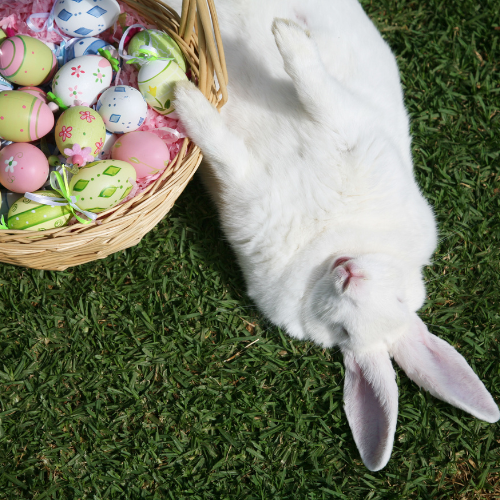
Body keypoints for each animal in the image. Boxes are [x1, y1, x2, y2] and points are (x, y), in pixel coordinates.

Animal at [169, 0, 500, 468]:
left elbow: (224, 148)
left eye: (343, 333)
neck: (331, 238)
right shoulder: (349, 131)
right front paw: (286, 33)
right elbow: (313, 85)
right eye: (401, 298)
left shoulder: (249, 195)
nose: (349, 274)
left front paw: (185, 99)